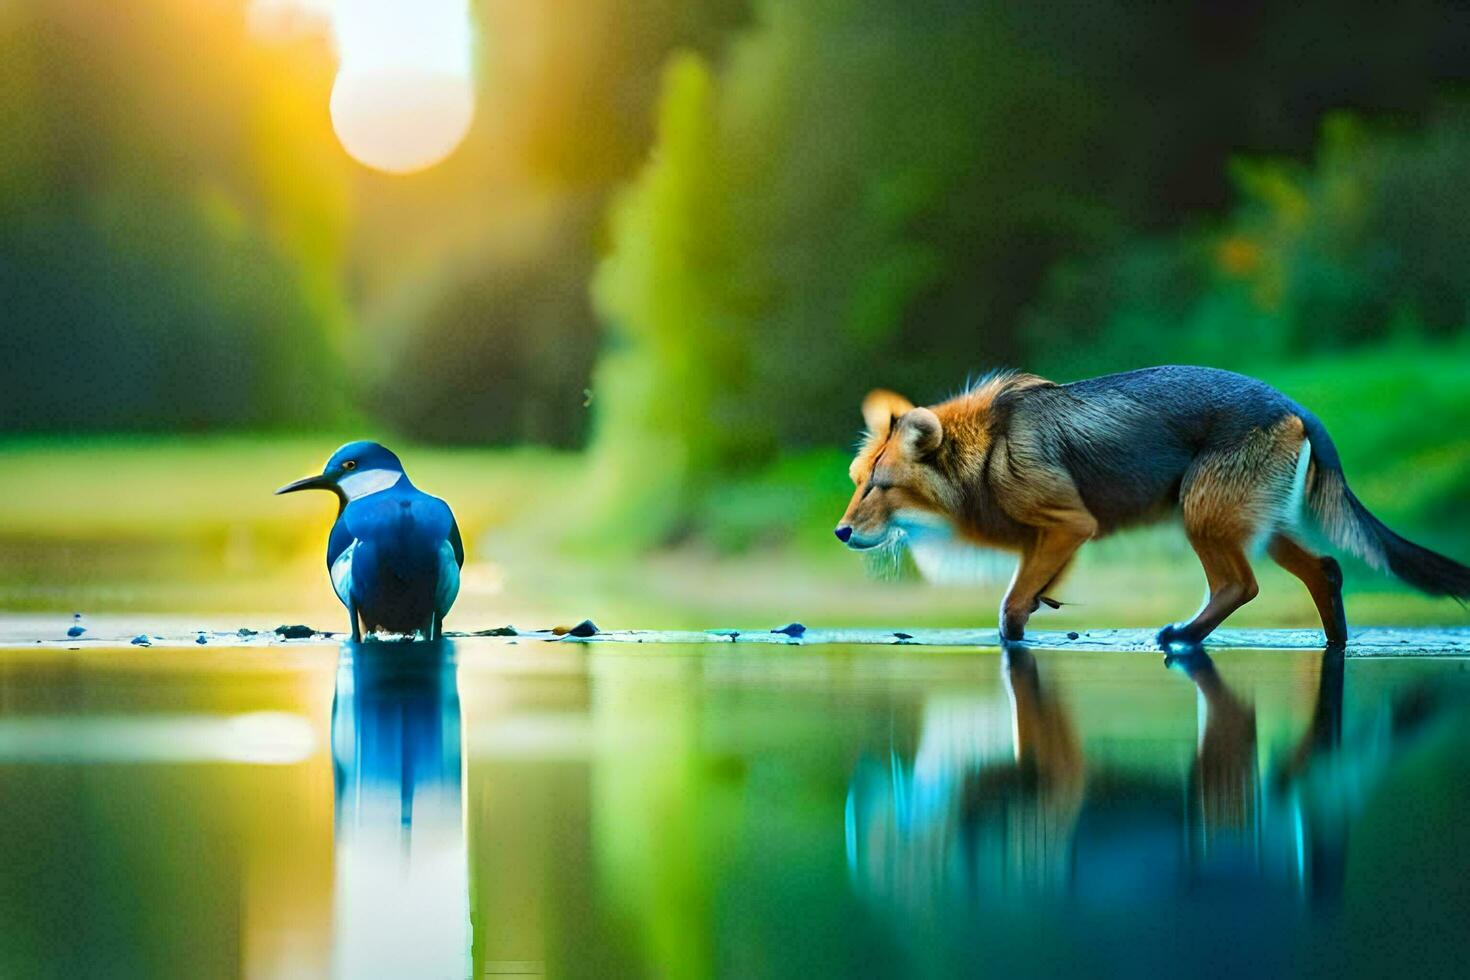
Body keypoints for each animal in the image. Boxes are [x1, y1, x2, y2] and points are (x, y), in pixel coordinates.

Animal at [834, 364, 1470, 646]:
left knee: (1240, 585)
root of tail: (1297, 406)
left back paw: (1182, 636)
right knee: (1327, 570)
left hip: (1202, 515)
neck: (985, 453)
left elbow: (1012, 610)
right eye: (857, 481)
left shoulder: (1072, 524)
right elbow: (1028, 595)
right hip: (1255, 524)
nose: (840, 533)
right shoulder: (1046, 541)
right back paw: (1334, 642)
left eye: (880, 486)